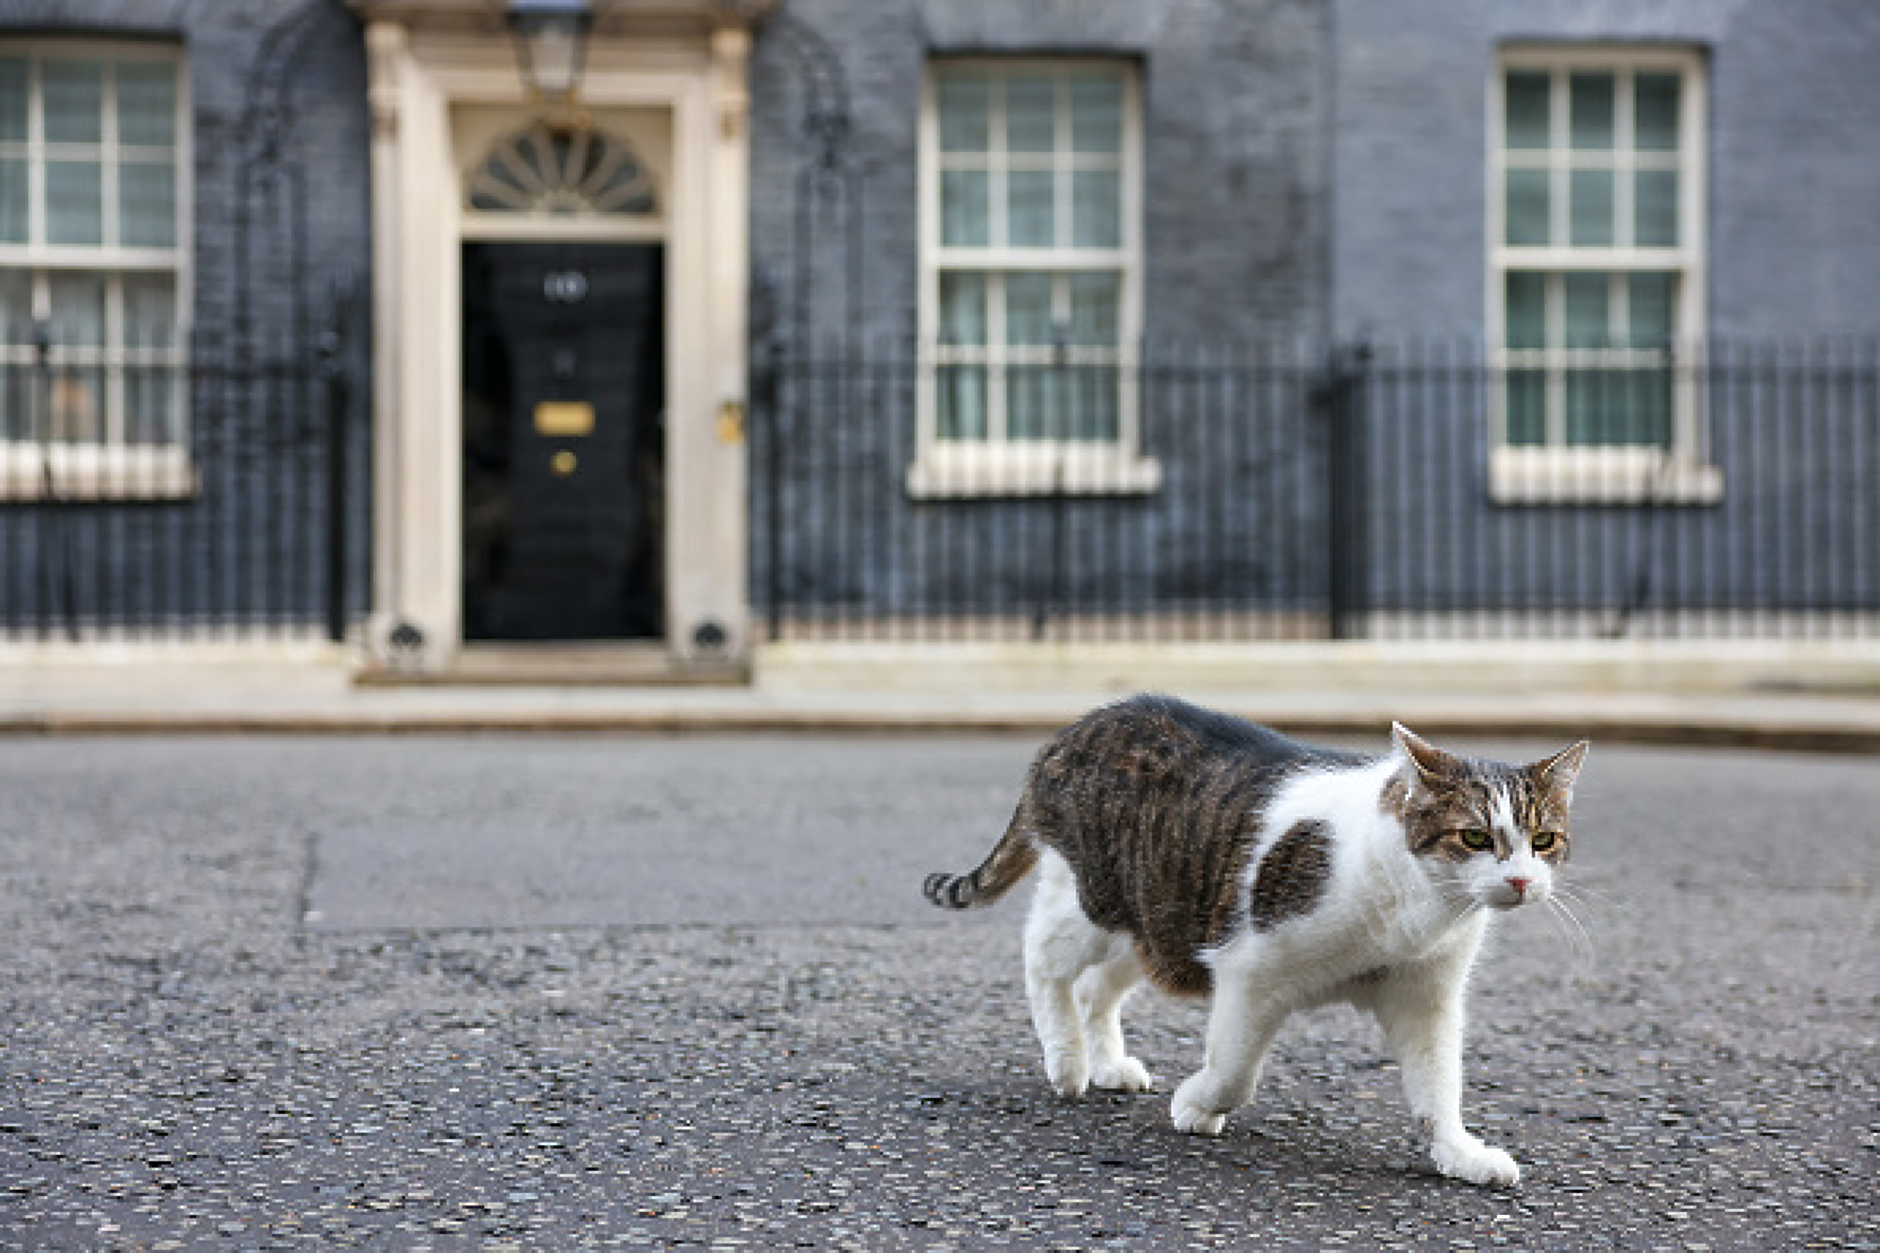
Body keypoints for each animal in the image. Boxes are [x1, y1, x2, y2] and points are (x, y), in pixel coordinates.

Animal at [924, 688, 1586, 1189]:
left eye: (1544, 840)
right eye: (1475, 838)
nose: (1522, 880)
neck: (1416, 914)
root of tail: (1077, 727)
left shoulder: (1426, 998)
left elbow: (1439, 1085)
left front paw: (1459, 1154)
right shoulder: (1249, 971)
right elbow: (1236, 1070)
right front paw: (1197, 1105)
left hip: (1163, 920)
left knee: (1097, 988)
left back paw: (1108, 1063)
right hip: (1097, 902)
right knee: (1044, 959)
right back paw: (1067, 1060)